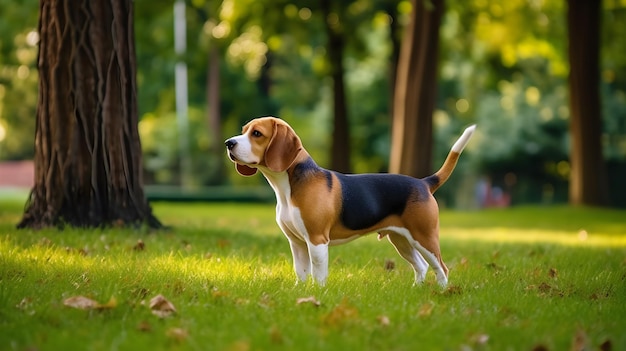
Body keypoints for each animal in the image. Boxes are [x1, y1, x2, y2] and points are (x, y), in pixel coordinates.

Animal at [224, 117, 472, 288]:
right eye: (244, 131)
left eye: (257, 133)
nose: (228, 143)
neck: (287, 186)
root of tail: (423, 182)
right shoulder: (297, 242)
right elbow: (301, 270)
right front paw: (299, 291)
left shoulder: (317, 240)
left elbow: (318, 272)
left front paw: (317, 292)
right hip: (401, 240)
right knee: (421, 266)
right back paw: (416, 289)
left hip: (424, 237)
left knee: (441, 267)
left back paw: (441, 292)